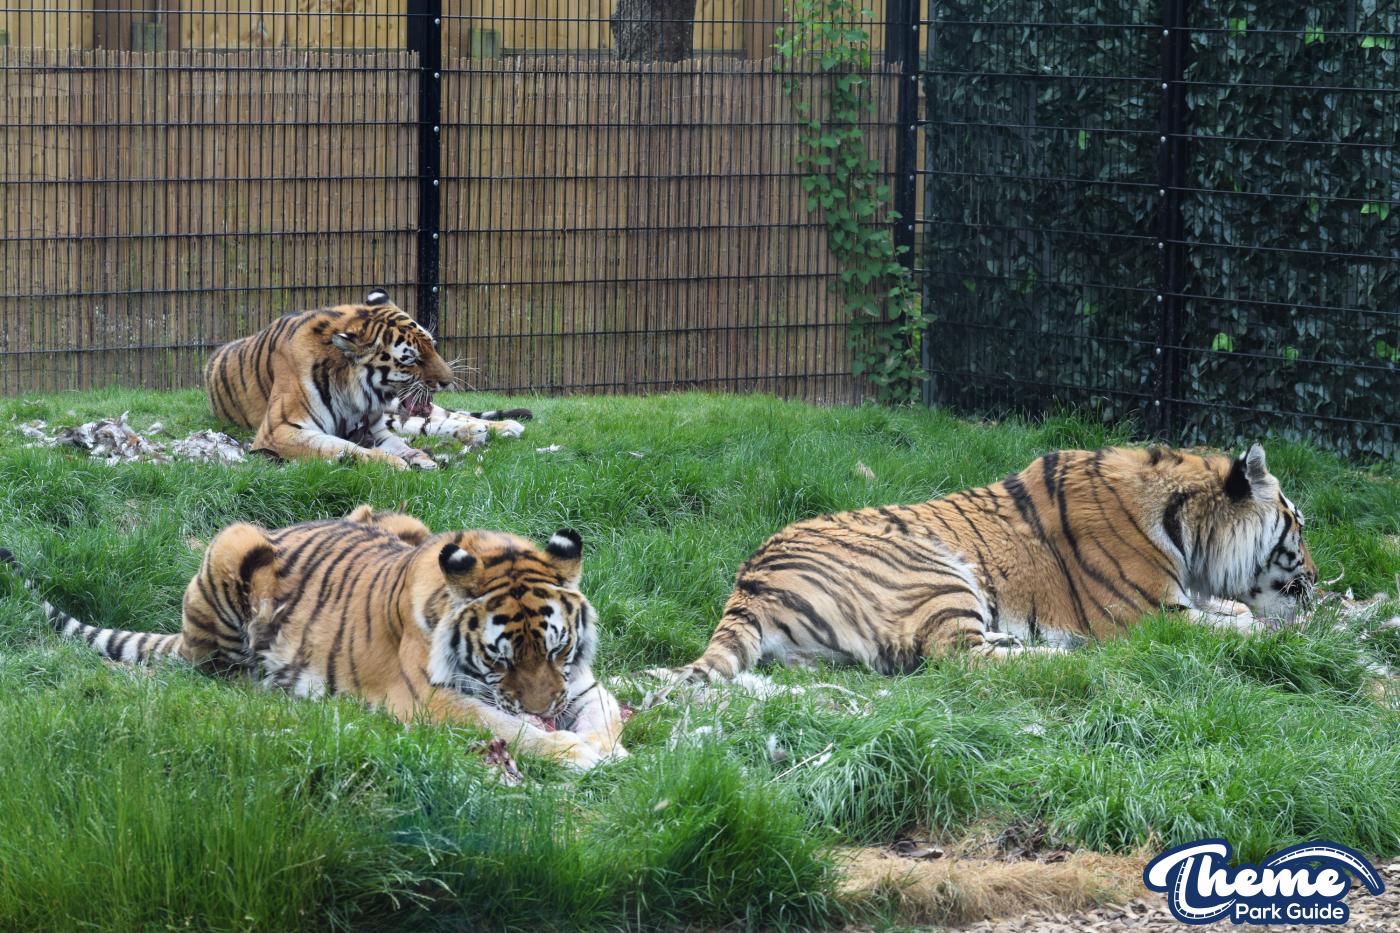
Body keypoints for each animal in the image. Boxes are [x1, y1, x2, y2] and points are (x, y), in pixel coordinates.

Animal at [0, 507, 627, 770]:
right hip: (231, 548)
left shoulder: (579, 682)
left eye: (557, 649)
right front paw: (576, 752)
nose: (544, 709)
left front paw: (607, 745)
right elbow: (505, 726)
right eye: (501, 661)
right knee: (214, 673)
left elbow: (602, 710)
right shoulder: (430, 702)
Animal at [204, 289, 533, 469]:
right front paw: (396, 463)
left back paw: (501, 426)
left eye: (433, 345)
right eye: (411, 359)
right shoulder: (280, 430)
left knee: (441, 418)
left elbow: (401, 442)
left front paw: (415, 457)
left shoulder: (375, 427)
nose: (447, 381)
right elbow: (338, 446)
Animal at [663, 443, 1317, 681]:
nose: (1314, 579)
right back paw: (1059, 657)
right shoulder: (1154, 617)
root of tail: (750, 581)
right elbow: (1242, 625)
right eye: (1300, 526)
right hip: (938, 571)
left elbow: (1236, 613)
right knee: (958, 658)